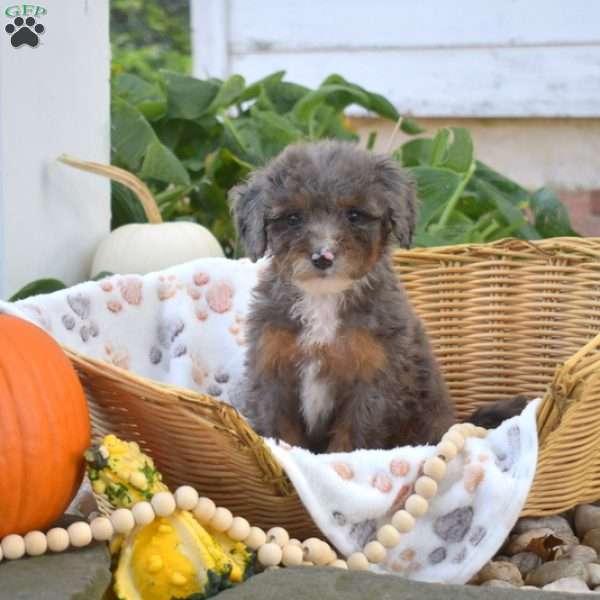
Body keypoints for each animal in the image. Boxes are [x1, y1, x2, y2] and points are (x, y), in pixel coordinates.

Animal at [232, 139, 524, 450]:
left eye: (354, 215)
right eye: (292, 218)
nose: (323, 257)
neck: (324, 299)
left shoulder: (372, 381)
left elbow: (351, 441)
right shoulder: (272, 371)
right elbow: (281, 436)